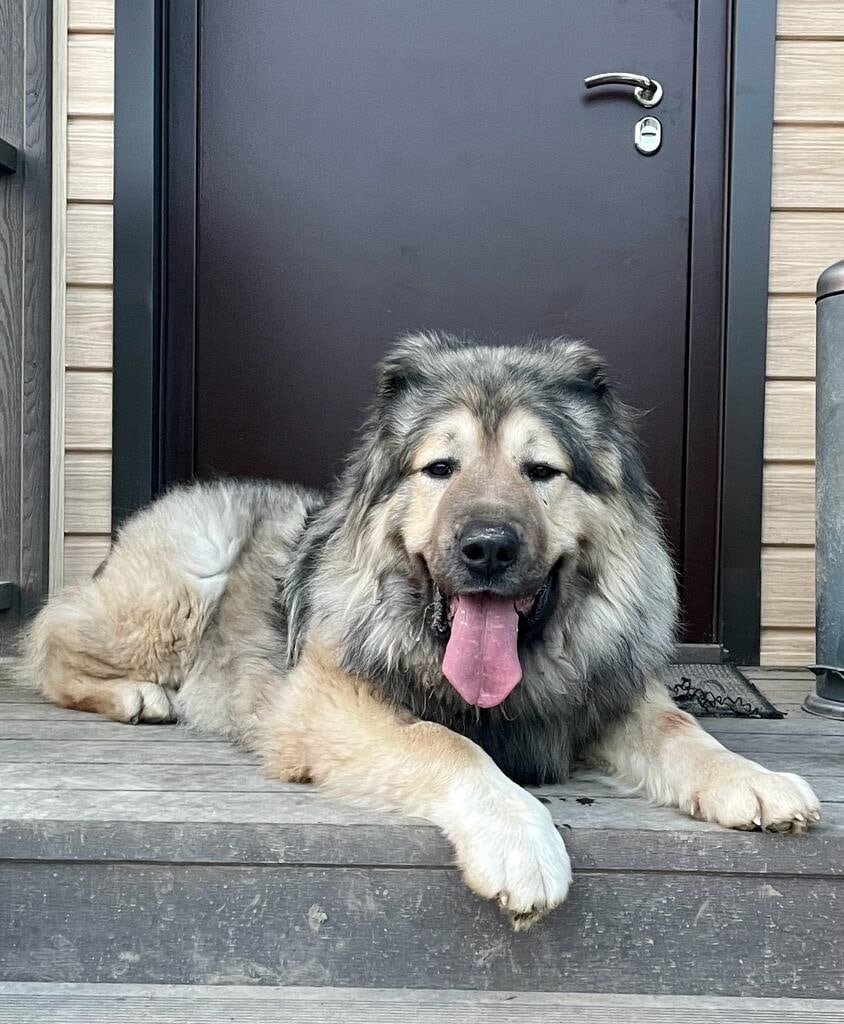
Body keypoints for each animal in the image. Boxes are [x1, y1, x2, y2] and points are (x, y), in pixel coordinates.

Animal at [23, 332, 820, 929]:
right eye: (441, 467)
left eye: (541, 471)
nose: (488, 548)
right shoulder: (325, 703)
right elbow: (448, 743)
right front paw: (520, 838)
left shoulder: (604, 697)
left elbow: (683, 729)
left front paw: (752, 781)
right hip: (185, 580)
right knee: (48, 638)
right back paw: (137, 696)